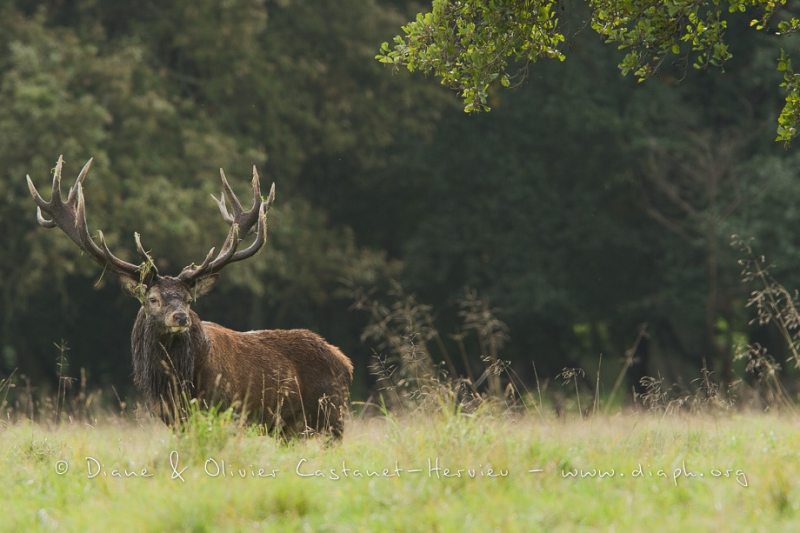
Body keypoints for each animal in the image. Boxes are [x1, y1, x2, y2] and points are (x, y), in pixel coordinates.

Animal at [26, 154, 352, 436]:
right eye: (153, 299)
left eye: (188, 299)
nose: (180, 317)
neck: (176, 384)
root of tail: (345, 362)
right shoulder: (172, 418)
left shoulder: (226, 410)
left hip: (329, 417)